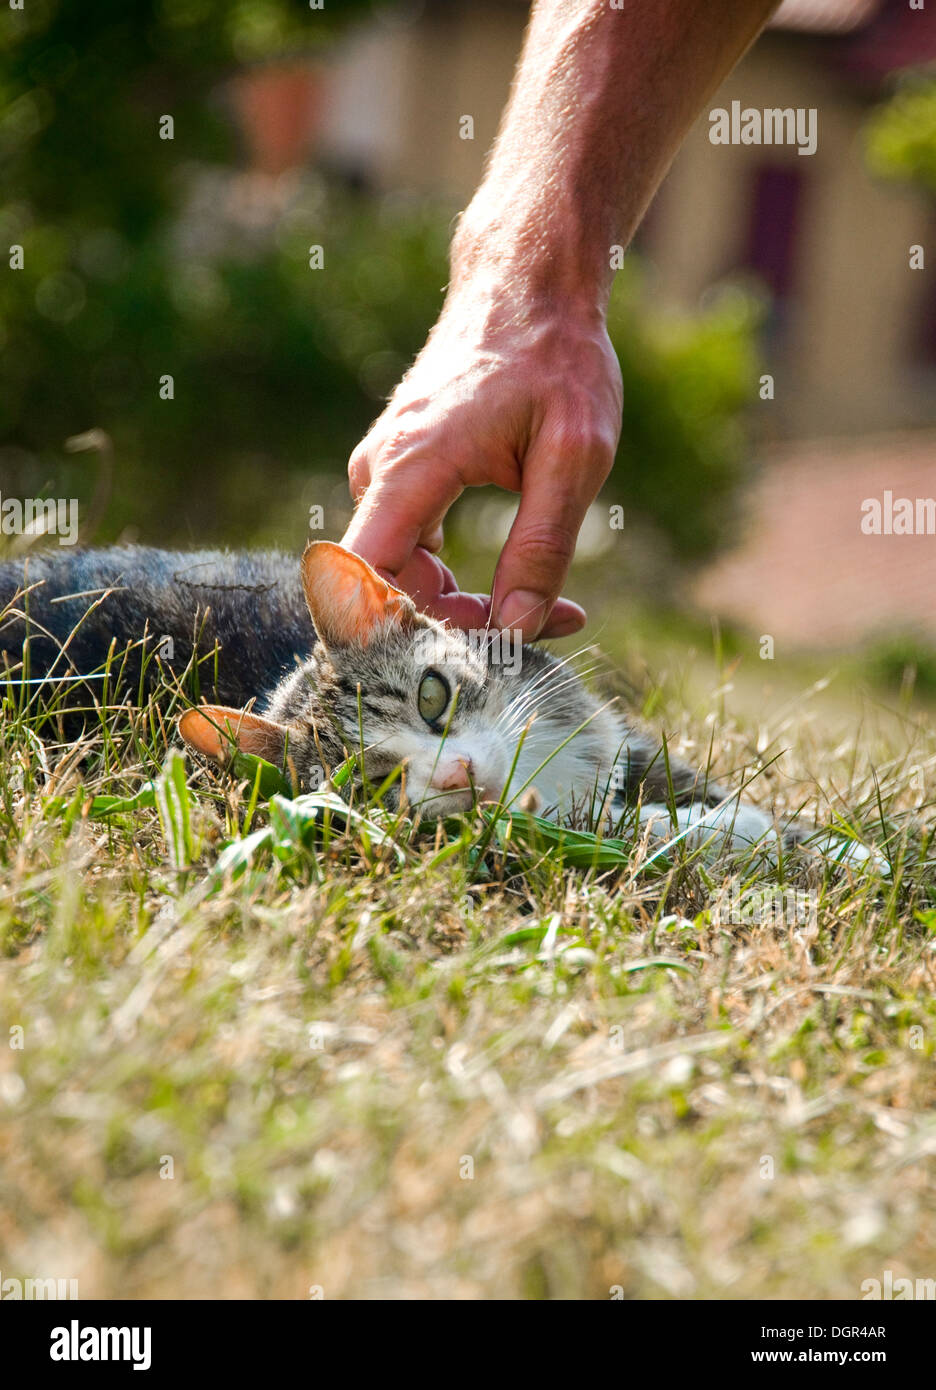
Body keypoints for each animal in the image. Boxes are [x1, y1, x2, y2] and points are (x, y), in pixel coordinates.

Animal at [0, 536, 878, 861]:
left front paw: (846, 847)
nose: (453, 777)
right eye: (379, 784)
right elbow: (649, 837)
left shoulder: (617, 740)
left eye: (431, 695)